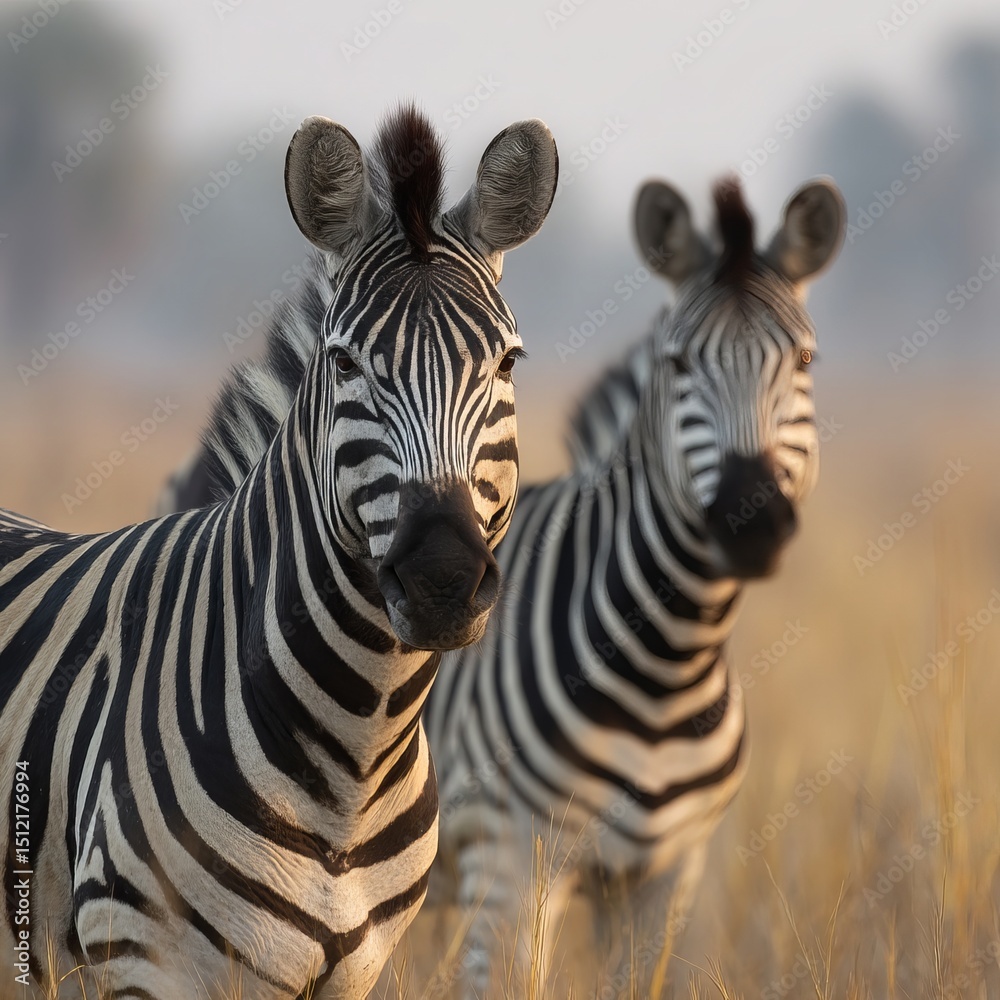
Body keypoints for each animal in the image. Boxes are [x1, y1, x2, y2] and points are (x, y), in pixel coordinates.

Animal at [0, 104, 558, 1000]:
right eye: (345, 362)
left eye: (507, 361)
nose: (441, 580)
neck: (353, 765)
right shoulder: (145, 961)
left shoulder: (354, 973)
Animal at [153, 175, 845, 996]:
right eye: (679, 364)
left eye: (803, 360)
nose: (751, 518)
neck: (671, 656)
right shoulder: (509, 859)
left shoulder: (666, 874)